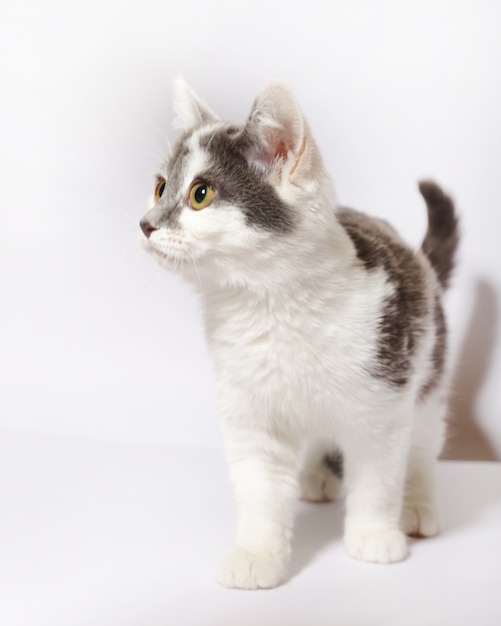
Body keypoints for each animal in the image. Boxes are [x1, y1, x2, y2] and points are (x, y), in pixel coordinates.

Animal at [138, 80, 458, 588]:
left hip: (428, 361)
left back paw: (417, 503)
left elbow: (379, 475)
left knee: (425, 440)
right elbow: (259, 488)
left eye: (201, 194)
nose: (146, 224)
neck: (272, 308)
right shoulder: (249, 410)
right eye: (160, 187)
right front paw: (258, 552)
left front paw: (374, 533)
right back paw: (316, 475)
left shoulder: (385, 398)